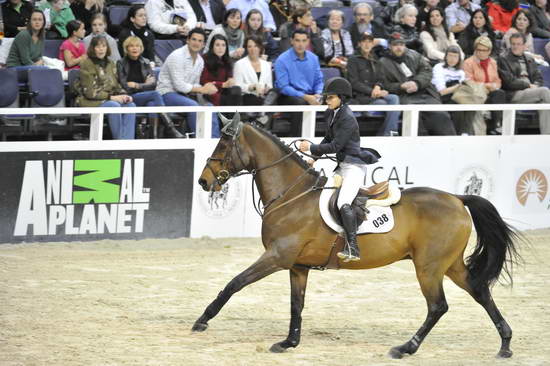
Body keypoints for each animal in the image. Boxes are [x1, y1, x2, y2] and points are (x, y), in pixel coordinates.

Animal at [192, 113, 524, 358]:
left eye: (222, 147)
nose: (204, 181)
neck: (292, 195)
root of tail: (457, 198)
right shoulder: (297, 266)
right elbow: (296, 305)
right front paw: (289, 343)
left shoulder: (277, 257)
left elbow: (234, 284)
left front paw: (202, 320)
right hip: (449, 264)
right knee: (480, 291)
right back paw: (506, 345)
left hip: (428, 267)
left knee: (438, 306)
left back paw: (406, 348)